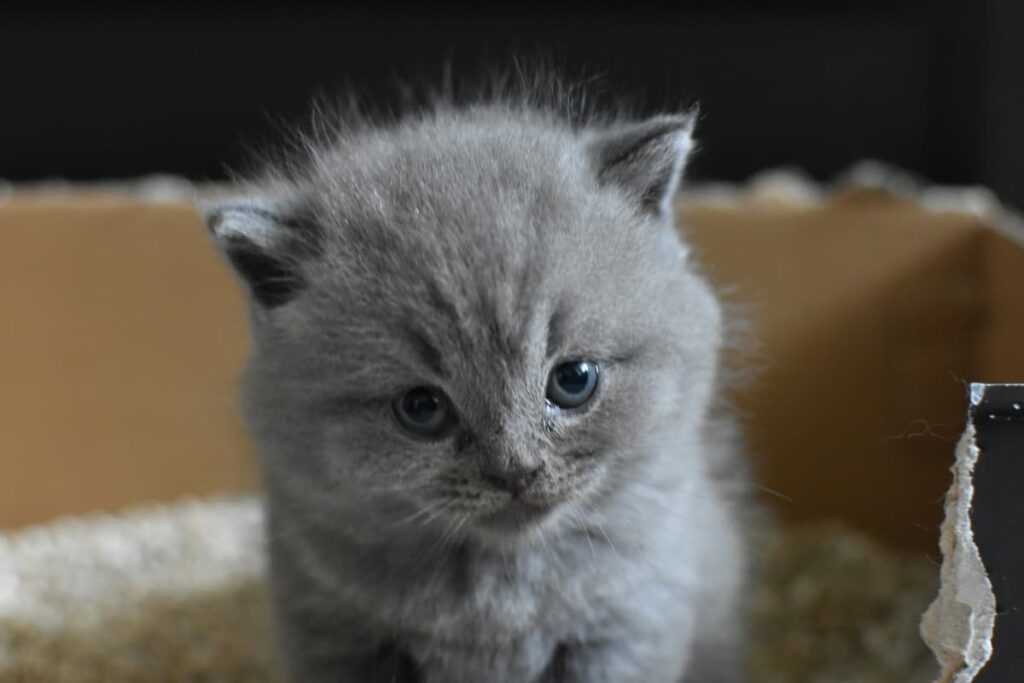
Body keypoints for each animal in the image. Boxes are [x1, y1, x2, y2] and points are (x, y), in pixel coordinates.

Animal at [203, 92, 749, 683]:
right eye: (421, 407)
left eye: (574, 380)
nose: (516, 471)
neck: (499, 592)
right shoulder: (333, 629)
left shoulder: (628, 622)